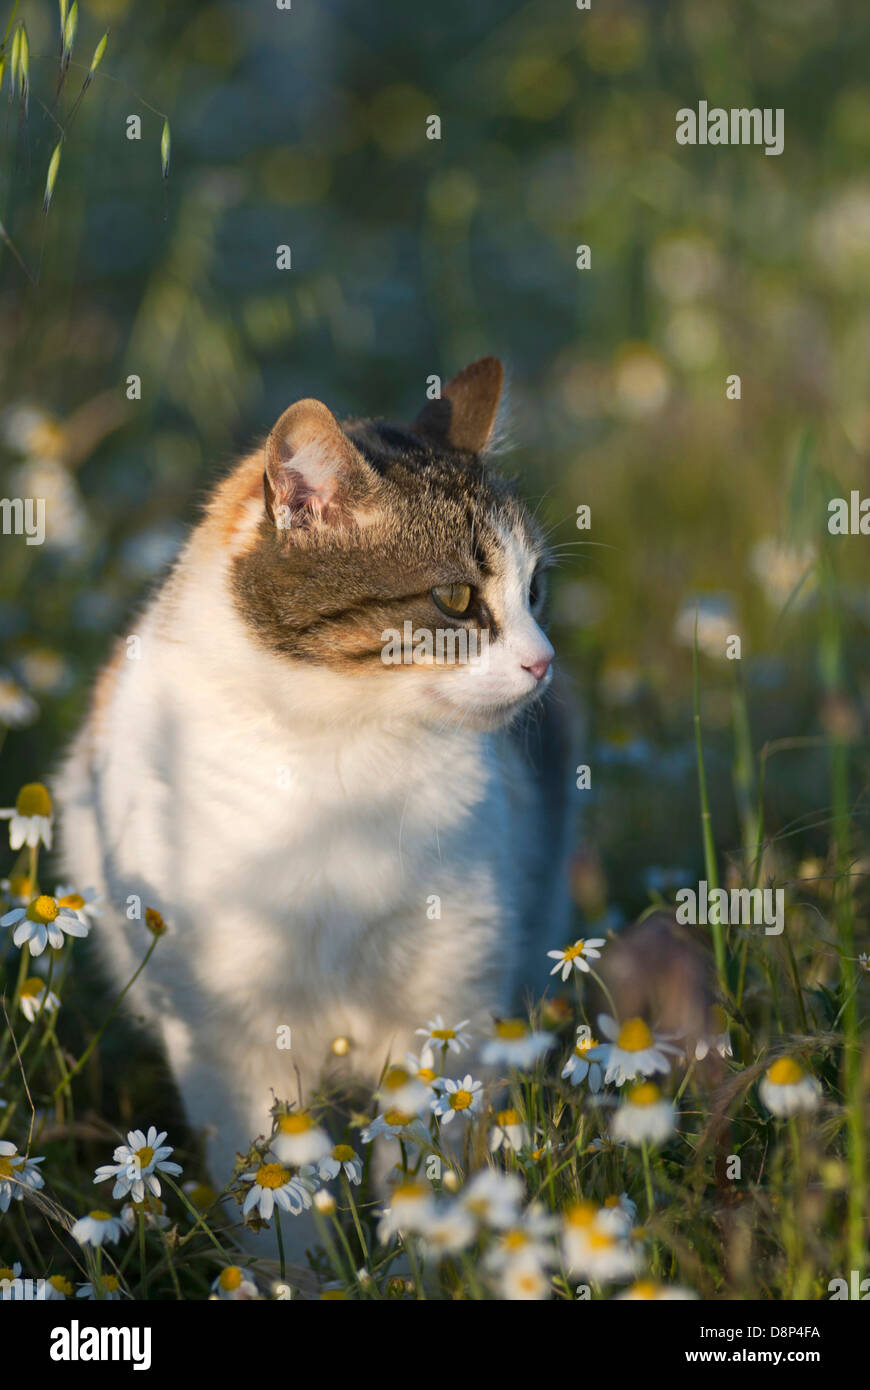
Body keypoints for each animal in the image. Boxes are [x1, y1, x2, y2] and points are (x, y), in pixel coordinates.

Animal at [52, 358, 569, 1262]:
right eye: (455, 598)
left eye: (534, 589)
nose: (543, 663)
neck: (346, 750)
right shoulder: (226, 1032)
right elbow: (276, 1196)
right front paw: (299, 1271)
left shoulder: (452, 998)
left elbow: (434, 1156)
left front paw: (429, 1257)